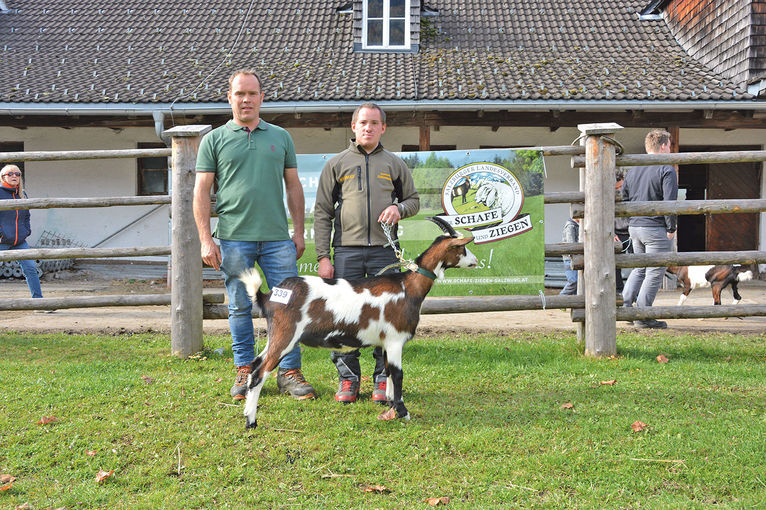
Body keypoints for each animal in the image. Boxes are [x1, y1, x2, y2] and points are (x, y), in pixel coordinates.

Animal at [242, 217, 480, 428]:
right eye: (463, 248)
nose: (476, 261)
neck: (408, 286)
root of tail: (269, 295)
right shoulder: (395, 340)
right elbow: (398, 374)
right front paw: (403, 413)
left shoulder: (386, 342)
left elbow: (388, 372)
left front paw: (390, 407)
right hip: (286, 335)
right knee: (260, 373)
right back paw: (251, 422)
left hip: (275, 335)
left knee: (254, 365)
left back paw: (247, 414)